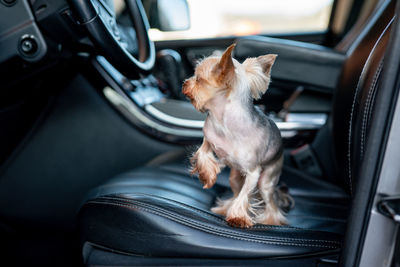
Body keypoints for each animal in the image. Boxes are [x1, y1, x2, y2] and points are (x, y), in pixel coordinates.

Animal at [181, 43, 290, 228]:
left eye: (198, 79)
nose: (184, 83)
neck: (223, 121)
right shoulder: (208, 138)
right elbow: (203, 154)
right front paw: (207, 176)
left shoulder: (253, 173)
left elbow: (244, 195)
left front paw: (238, 217)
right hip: (234, 176)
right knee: (235, 192)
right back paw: (225, 208)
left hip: (267, 179)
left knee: (269, 202)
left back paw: (271, 221)